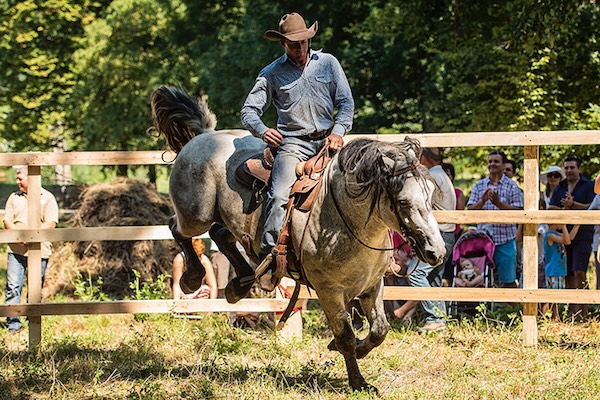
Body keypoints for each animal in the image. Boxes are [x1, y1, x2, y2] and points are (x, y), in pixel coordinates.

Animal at [152, 86, 448, 390]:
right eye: (403, 202)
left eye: (430, 196)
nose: (437, 252)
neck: (340, 217)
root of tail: (203, 135)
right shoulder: (329, 292)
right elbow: (346, 337)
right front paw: (357, 381)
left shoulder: (372, 285)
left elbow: (379, 330)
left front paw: (355, 353)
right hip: (195, 215)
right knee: (177, 228)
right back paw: (192, 278)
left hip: (223, 222)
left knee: (221, 234)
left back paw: (239, 285)